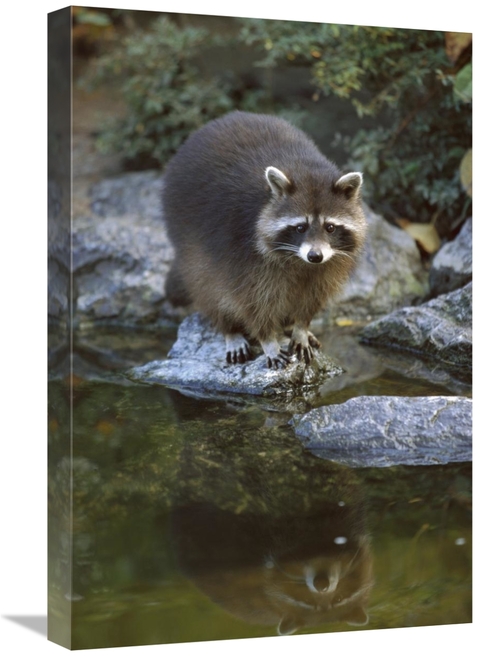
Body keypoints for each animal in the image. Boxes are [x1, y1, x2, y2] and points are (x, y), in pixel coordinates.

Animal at [163, 111, 366, 368]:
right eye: (300, 227)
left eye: (330, 227)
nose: (315, 256)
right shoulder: (242, 247)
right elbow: (253, 299)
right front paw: (268, 338)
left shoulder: (331, 261)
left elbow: (313, 294)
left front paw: (301, 327)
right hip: (186, 230)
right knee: (206, 282)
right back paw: (229, 328)